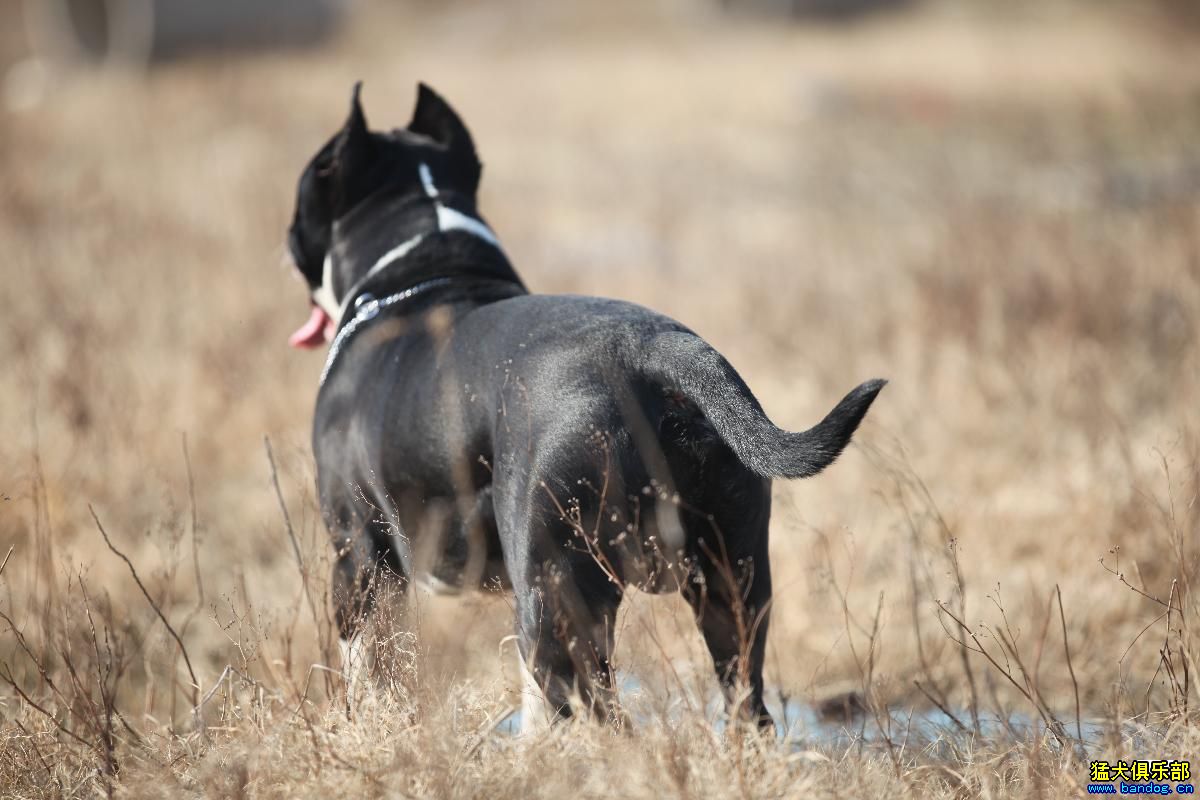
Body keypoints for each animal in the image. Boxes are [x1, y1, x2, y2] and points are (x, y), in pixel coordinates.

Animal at [280, 82, 883, 734]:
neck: (422, 270)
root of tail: (654, 351)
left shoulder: (360, 558)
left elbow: (369, 673)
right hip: (731, 582)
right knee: (745, 700)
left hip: (556, 595)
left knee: (592, 711)